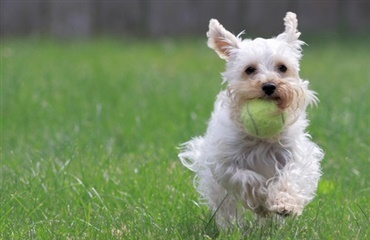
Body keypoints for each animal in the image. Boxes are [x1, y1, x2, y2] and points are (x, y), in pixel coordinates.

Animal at [179, 12, 324, 228]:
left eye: (282, 67)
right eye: (249, 69)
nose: (269, 85)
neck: (262, 140)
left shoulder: (294, 154)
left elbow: (292, 174)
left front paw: (284, 203)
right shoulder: (224, 162)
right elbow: (245, 178)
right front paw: (262, 200)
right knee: (226, 208)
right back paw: (230, 227)